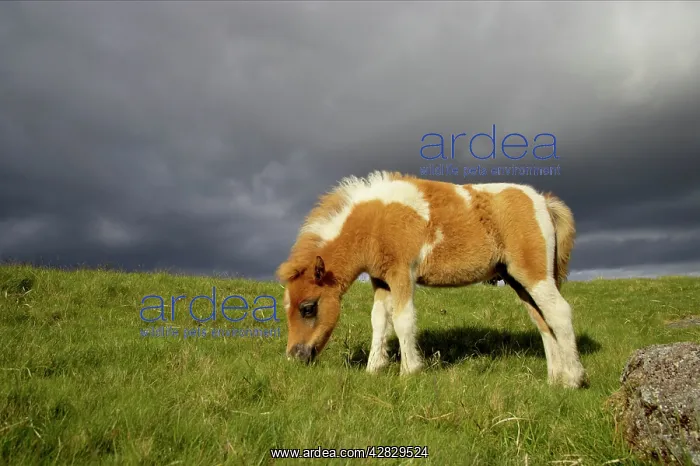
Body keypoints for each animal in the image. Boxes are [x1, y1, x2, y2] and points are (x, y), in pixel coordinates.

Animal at [276, 170, 588, 388]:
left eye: (308, 308)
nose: (294, 356)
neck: (375, 222)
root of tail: (543, 201)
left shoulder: (402, 273)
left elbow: (403, 320)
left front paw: (409, 371)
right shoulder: (381, 280)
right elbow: (379, 321)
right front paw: (373, 369)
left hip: (534, 274)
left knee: (559, 312)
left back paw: (574, 379)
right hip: (516, 280)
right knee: (542, 320)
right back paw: (554, 379)